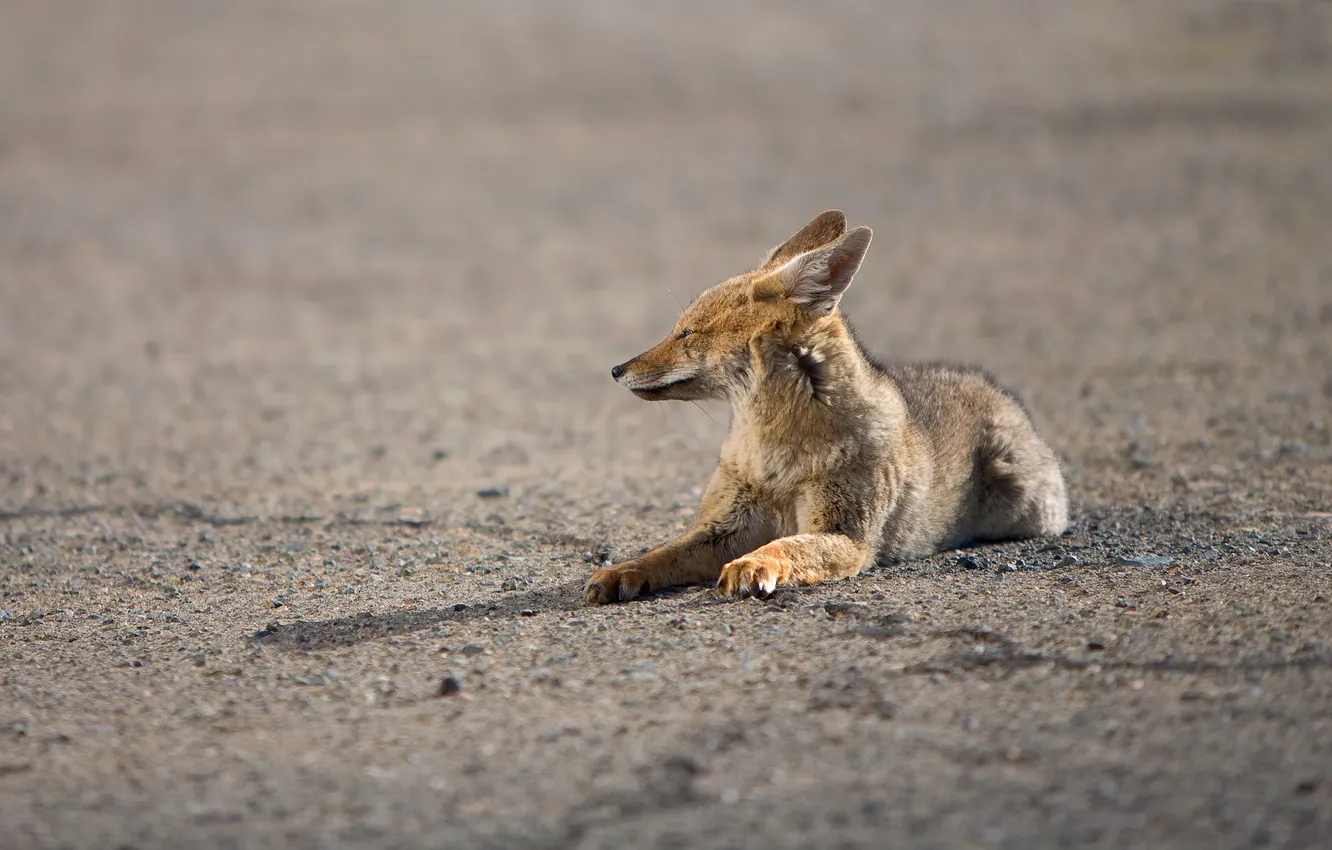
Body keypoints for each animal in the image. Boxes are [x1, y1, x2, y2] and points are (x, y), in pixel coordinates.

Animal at [586, 214, 1070, 607]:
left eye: (686, 333)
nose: (616, 369)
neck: (775, 456)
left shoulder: (847, 536)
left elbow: (784, 547)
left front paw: (754, 565)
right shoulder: (724, 525)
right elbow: (661, 553)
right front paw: (620, 571)